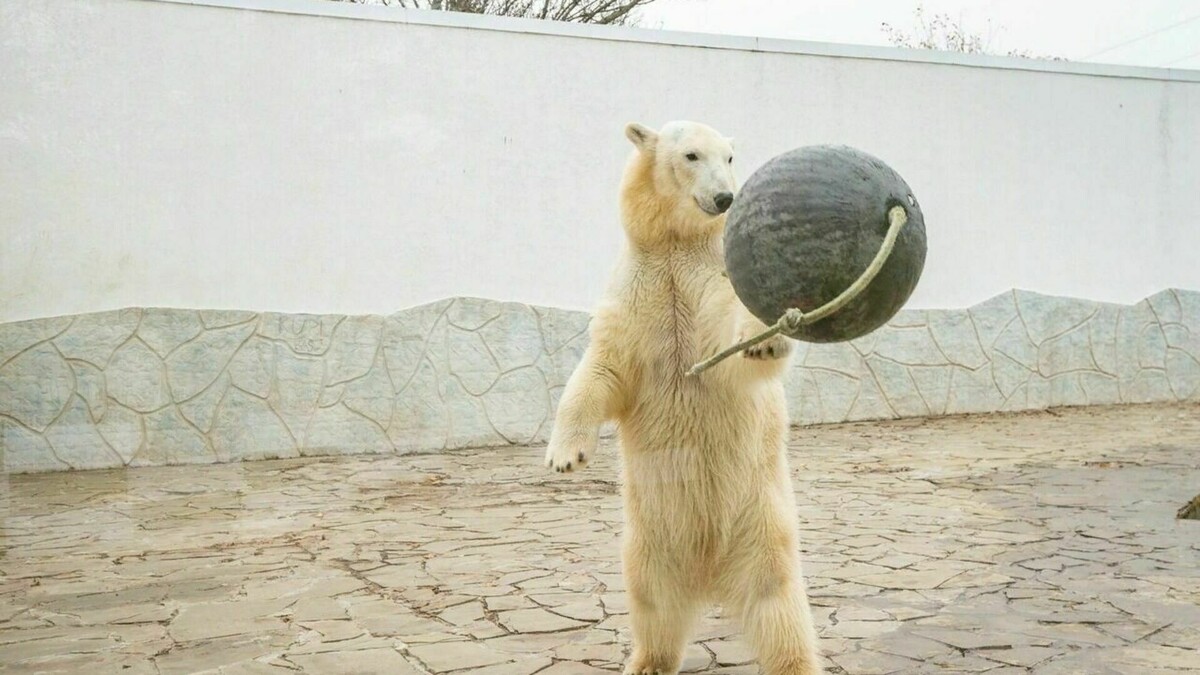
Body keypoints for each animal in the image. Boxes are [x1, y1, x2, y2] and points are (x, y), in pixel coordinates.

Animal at [547, 121, 820, 672]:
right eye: (692, 155)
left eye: (730, 158)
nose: (724, 198)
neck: (675, 242)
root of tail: (710, 574)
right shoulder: (640, 286)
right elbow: (606, 366)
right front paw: (566, 456)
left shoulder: (707, 275)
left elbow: (728, 335)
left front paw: (767, 337)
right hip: (649, 539)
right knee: (651, 602)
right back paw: (646, 661)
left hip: (761, 524)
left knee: (778, 604)